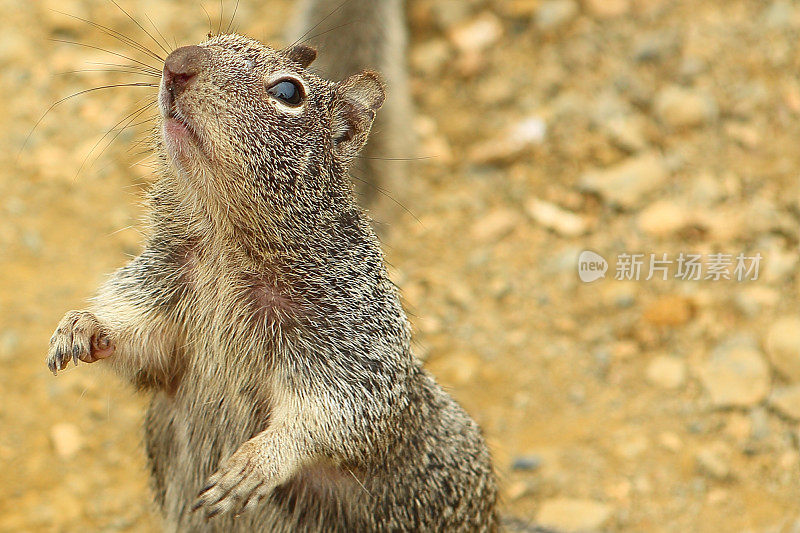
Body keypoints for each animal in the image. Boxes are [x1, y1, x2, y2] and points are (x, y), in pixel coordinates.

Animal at [43, 5, 496, 532]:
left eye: (288, 92)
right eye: (211, 37)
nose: (176, 63)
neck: (225, 245)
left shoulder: (350, 338)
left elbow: (338, 413)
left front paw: (258, 462)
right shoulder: (165, 289)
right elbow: (142, 344)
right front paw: (81, 326)